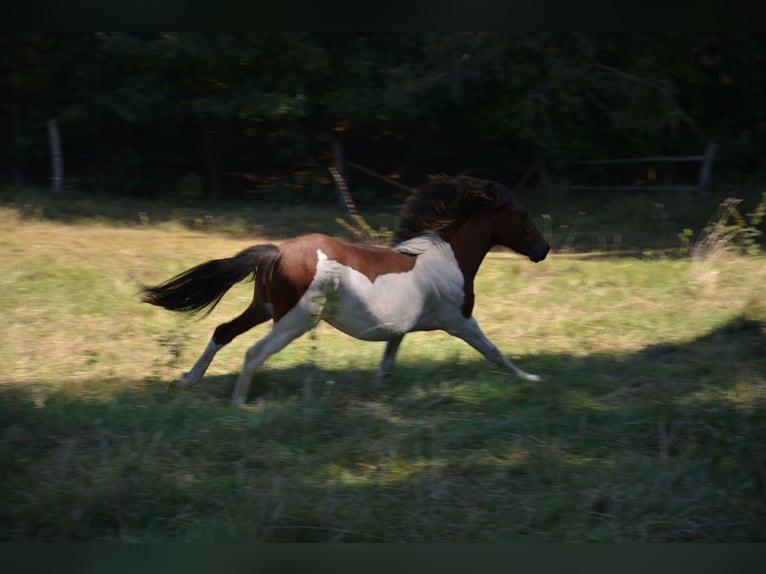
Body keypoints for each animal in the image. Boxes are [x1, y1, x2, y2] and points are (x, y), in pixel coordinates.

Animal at [144, 174, 548, 404]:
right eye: (523, 214)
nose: (543, 249)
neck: (448, 258)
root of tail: (277, 250)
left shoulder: (399, 330)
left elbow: (386, 366)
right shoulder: (460, 321)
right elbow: (494, 353)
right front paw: (531, 379)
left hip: (265, 308)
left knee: (222, 331)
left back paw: (185, 381)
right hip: (295, 319)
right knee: (253, 352)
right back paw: (239, 405)